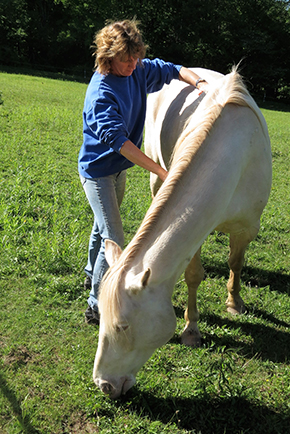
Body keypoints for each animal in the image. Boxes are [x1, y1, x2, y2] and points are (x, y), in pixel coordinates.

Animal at [92, 68, 272, 400]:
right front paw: (191, 329)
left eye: (123, 326)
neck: (236, 155)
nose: (104, 384)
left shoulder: (248, 227)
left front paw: (234, 302)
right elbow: (193, 276)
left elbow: (236, 263)